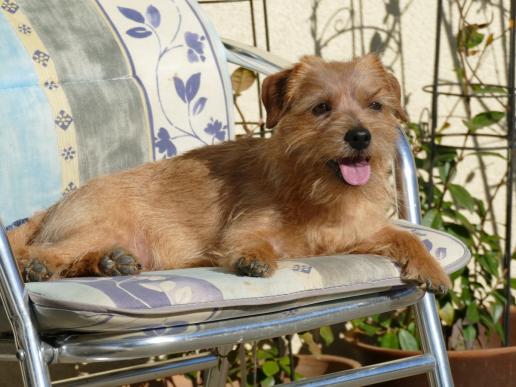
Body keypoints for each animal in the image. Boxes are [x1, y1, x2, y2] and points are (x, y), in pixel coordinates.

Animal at [8, 53, 452, 292]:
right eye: (321, 108)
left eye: (375, 105)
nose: (360, 136)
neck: (316, 190)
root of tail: (49, 209)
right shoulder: (244, 226)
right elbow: (250, 240)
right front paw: (254, 258)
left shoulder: (355, 235)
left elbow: (406, 237)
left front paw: (430, 267)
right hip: (97, 226)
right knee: (36, 253)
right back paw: (42, 266)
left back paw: (110, 263)